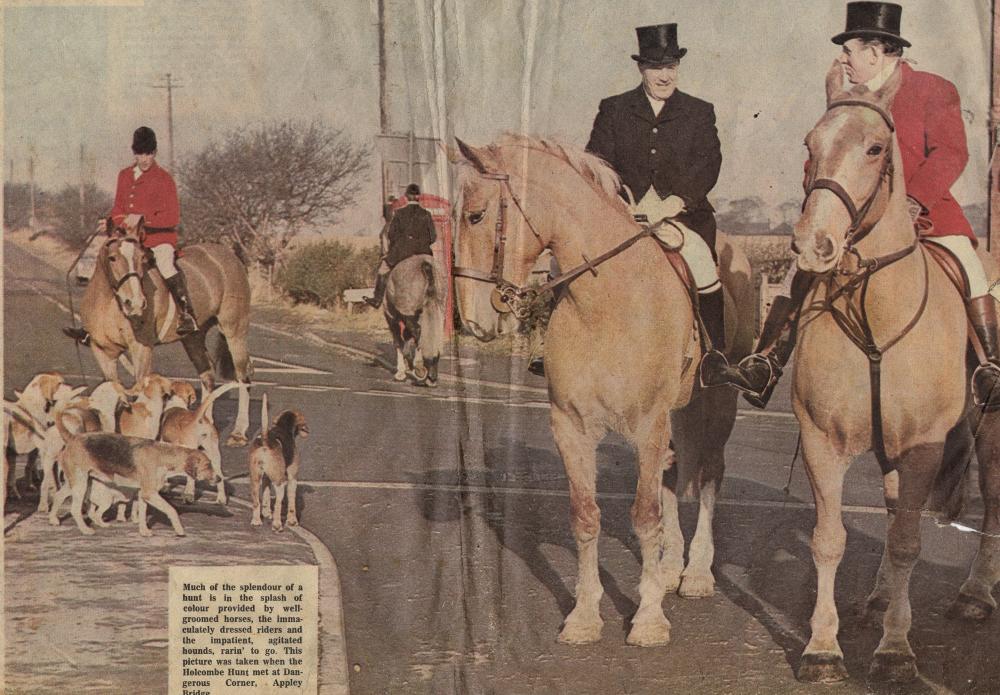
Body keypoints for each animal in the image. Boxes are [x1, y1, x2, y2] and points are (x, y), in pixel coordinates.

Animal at [81, 226, 254, 448]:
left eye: (141, 259)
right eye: (112, 258)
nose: (135, 303)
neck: (108, 303)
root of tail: (229, 255)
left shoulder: (141, 348)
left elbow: (141, 387)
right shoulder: (102, 351)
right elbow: (112, 387)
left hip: (235, 330)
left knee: (243, 376)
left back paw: (238, 433)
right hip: (193, 337)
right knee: (207, 374)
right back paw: (203, 421)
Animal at [382, 254, 446, 388]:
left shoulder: (392, 318)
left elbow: (398, 342)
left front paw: (401, 373)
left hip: (407, 312)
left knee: (417, 333)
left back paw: (419, 369)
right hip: (438, 309)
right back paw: (431, 375)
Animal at [454, 135, 752, 648]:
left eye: (475, 215)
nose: (470, 320)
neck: (608, 301)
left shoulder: (649, 423)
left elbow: (645, 515)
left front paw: (648, 620)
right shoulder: (571, 426)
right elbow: (586, 516)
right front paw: (584, 616)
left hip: (716, 405)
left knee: (711, 472)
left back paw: (696, 573)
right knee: (674, 474)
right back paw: (669, 568)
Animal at [788, 62, 1000, 684]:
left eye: (876, 148)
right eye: (809, 145)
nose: (814, 244)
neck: (873, 309)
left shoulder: (925, 445)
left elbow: (909, 541)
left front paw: (895, 650)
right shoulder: (821, 441)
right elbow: (828, 539)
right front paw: (823, 648)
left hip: (990, 430)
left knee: (991, 501)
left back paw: (975, 595)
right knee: (888, 506)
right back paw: (882, 595)